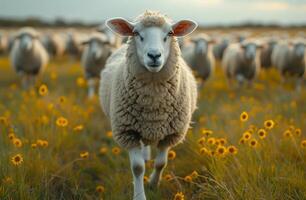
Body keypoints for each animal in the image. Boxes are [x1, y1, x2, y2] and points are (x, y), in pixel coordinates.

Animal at [99, 10, 197, 200]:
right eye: (136, 33)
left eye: (170, 33)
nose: (154, 55)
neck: (153, 106)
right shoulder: (129, 133)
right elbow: (137, 168)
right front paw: (140, 195)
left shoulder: (170, 134)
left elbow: (161, 163)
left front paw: (153, 184)